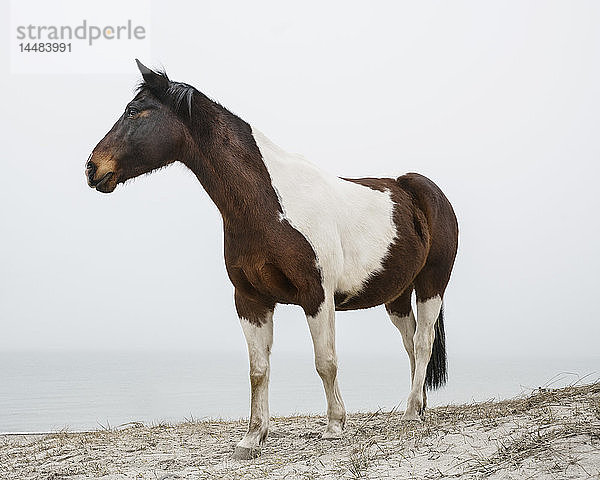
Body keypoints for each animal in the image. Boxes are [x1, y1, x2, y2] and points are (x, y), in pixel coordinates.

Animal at [85, 60, 460, 462]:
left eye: (134, 111)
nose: (92, 168)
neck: (269, 205)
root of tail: (419, 188)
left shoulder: (317, 296)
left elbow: (325, 362)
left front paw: (334, 426)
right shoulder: (250, 300)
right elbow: (258, 370)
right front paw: (253, 437)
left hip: (432, 284)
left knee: (423, 342)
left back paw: (410, 413)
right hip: (397, 295)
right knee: (410, 342)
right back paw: (418, 405)